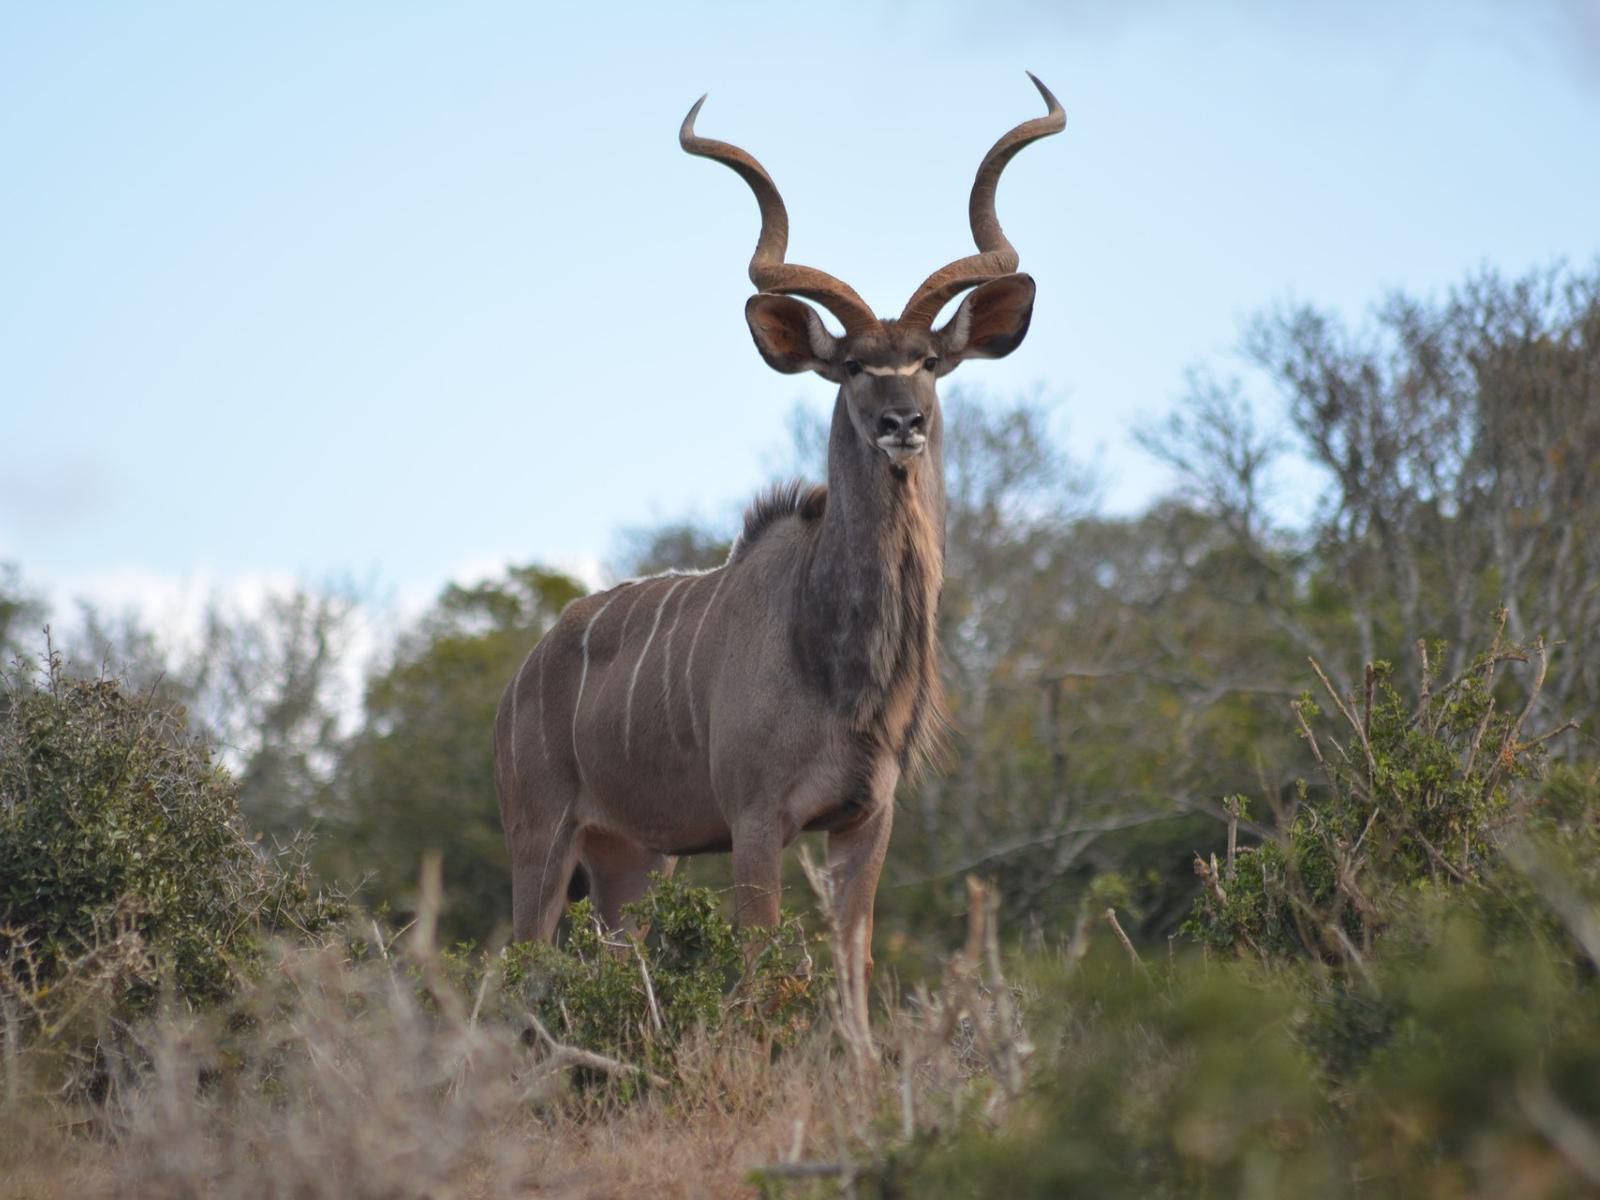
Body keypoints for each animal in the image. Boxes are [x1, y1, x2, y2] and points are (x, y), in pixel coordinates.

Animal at [486, 72, 1062, 985]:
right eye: (854, 364)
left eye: (931, 362)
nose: (903, 424)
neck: (830, 654)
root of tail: (522, 677)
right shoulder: (757, 822)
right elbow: (758, 972)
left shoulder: (864, 819)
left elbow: (853, 968)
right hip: (540, 839)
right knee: (515, 971)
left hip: (635, 858)